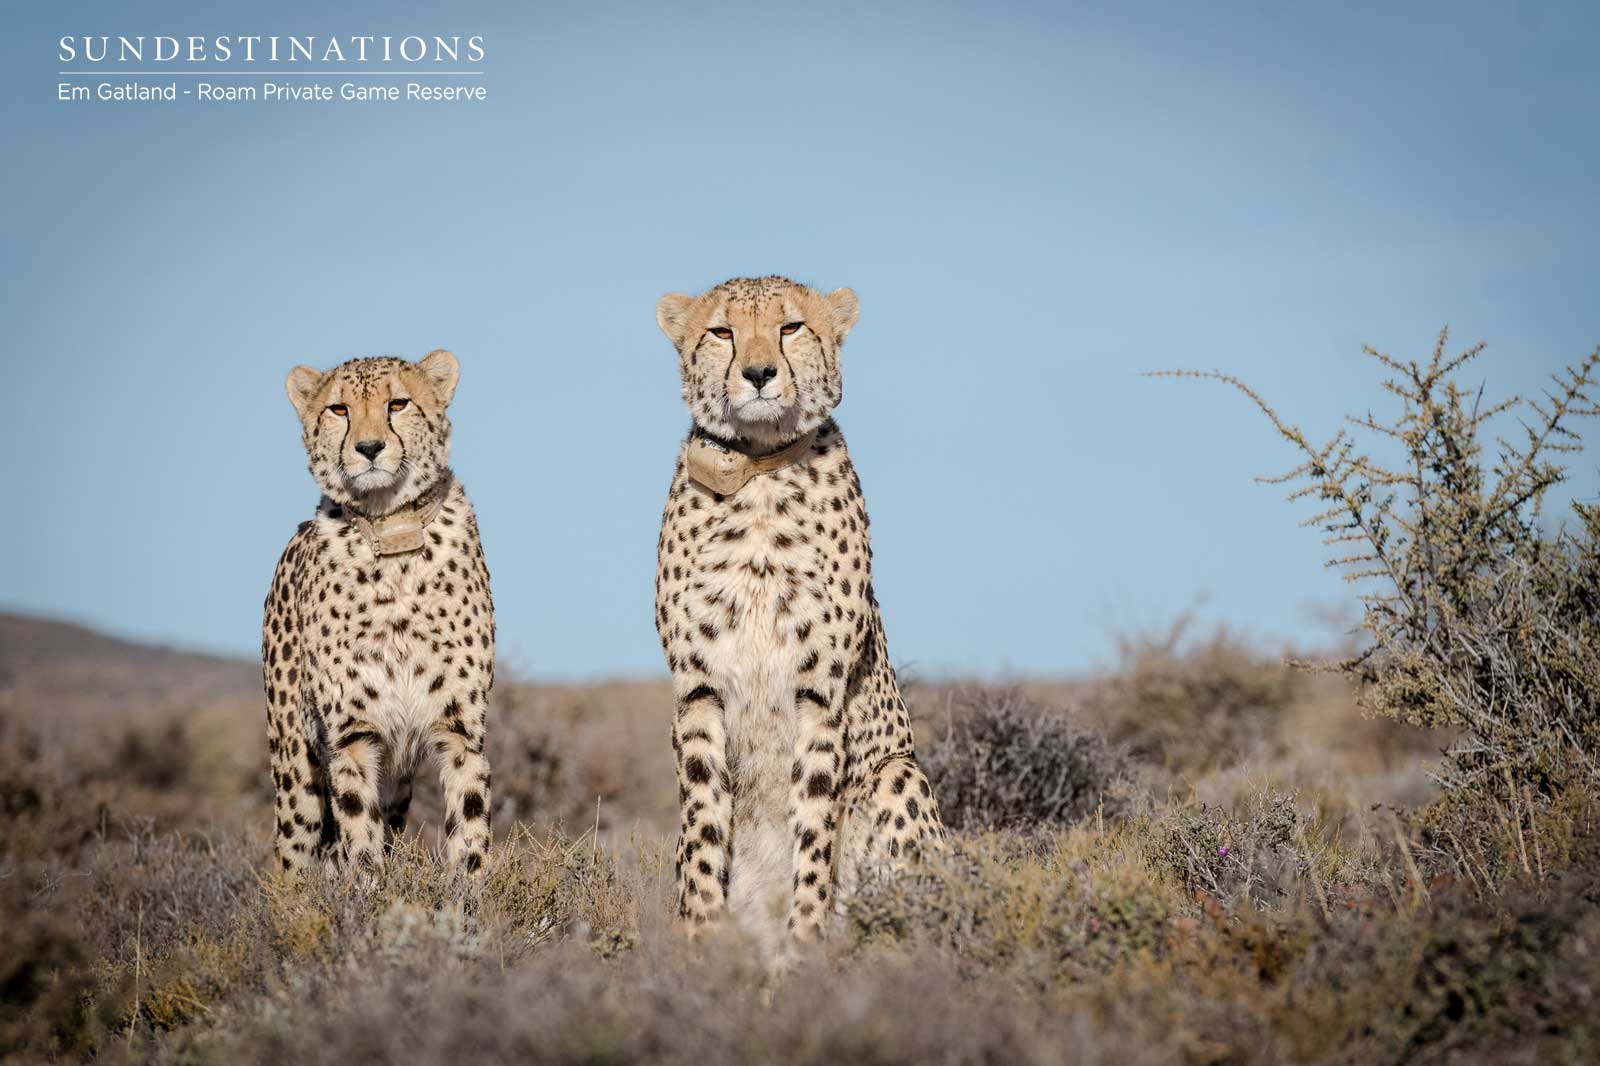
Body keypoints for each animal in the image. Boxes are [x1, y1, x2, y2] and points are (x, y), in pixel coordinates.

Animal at [262, 350, 495, 876]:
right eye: (339, 409)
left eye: (398, 403)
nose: (369, 448)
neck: (393, 536)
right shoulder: (353, 735)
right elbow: (359, 839)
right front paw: (367, 891)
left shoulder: (460, 730)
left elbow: (470, 827)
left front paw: (470, 890)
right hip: (296, 770)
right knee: (293, 857)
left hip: (397, 778)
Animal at [653, 275, 946, 960]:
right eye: (722, 331)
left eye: (790, 328)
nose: (759, 373)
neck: (759, 474)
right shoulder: (697, 690)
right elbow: (704, 825)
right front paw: (701, 946)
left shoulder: (819, 690)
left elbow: (813, 828)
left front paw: (804, 946)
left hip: (899, 774)